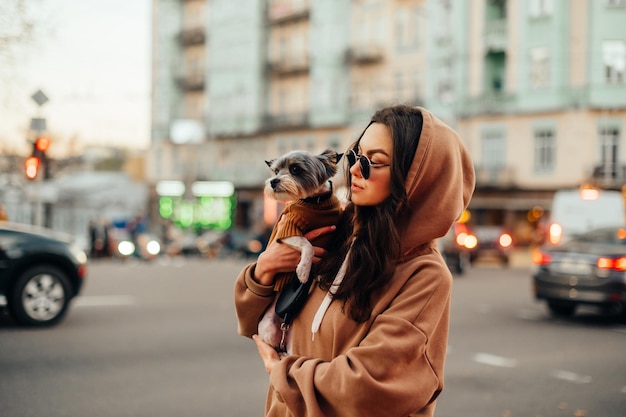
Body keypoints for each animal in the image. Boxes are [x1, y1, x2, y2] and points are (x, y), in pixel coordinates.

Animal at [258, 149, 342, 352]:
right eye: (276, 171)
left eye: (295, 169)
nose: (273, 181)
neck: (316, 201)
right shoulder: (287, 230)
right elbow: (308, 245)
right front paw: (303, 271)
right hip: (268, 329)